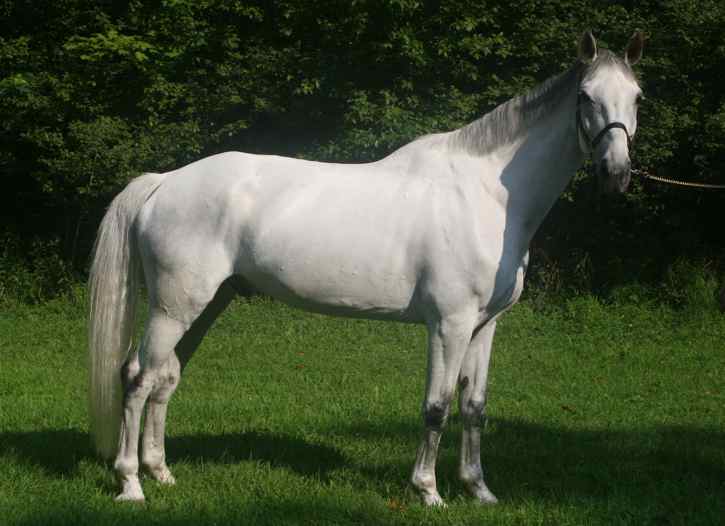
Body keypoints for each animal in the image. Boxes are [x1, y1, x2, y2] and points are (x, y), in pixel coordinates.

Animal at [89, 31, 644, 504]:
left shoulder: (485, 325)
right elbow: (437, 405)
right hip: (173, 307)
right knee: (137, 377)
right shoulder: (449, 324)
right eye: (587, 96)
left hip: (206, 304)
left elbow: (474, 407)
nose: (616, 175)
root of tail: (165, 182)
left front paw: (479, 490)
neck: (485, 194)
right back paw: (130, 485)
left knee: (166, 377)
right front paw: (429, 491)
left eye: (637, 97)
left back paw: (161, 473)